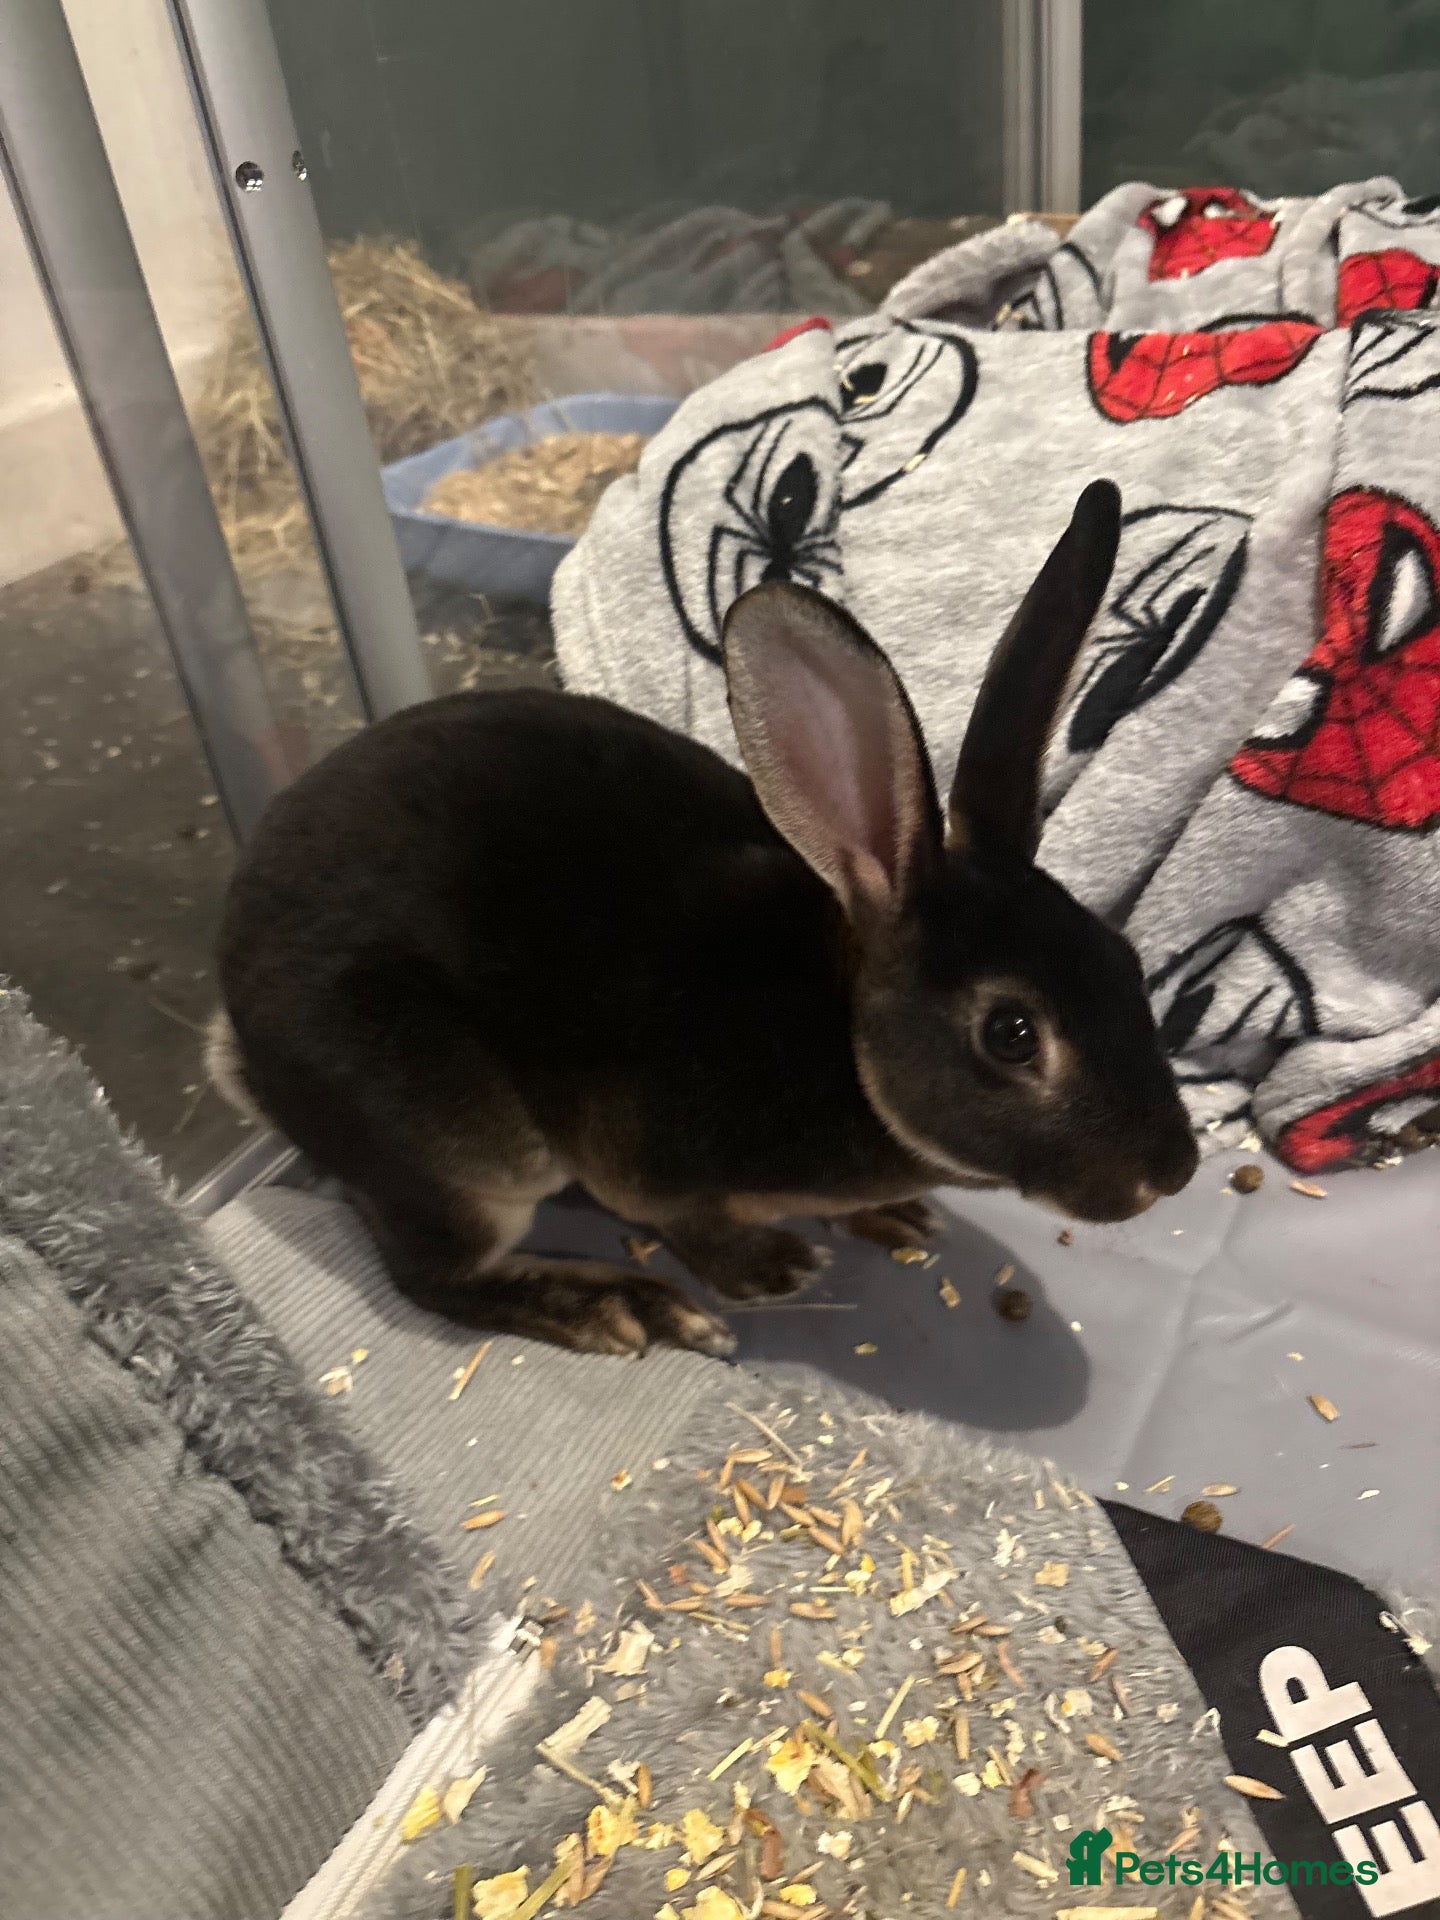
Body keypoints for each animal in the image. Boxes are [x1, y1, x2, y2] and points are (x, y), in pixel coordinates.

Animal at [209, 478, 1198, 1358]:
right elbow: (692, 1229)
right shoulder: (643, 1168)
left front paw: (902, 1216)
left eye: (1125, 963)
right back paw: (622, 1310)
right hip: (457, 1143)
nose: (1173, 1172)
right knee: (434, 1276)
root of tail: (243, 1047)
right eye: (1011, 1033)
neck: (843, 1039)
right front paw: (773, 1269)